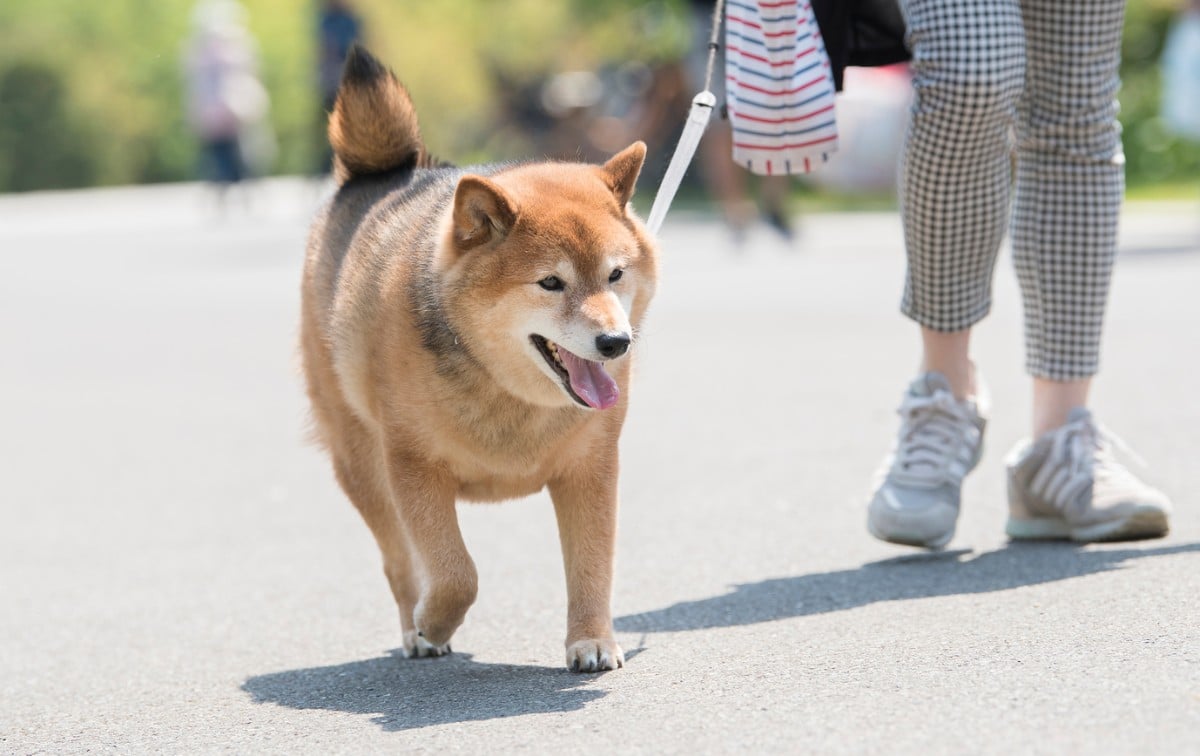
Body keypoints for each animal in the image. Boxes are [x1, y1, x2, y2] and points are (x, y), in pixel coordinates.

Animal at [297, 47, 657, 676]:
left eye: (615, 274)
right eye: (550, 282)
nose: (617, 343)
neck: (504, 390)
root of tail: (384, 175)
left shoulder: (591, 466)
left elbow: (592, 565)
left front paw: (592, 640)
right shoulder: (414, 467)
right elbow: (456, 574)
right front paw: (433, 623)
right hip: (361, 463)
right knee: (399, 561)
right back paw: (414, 627)